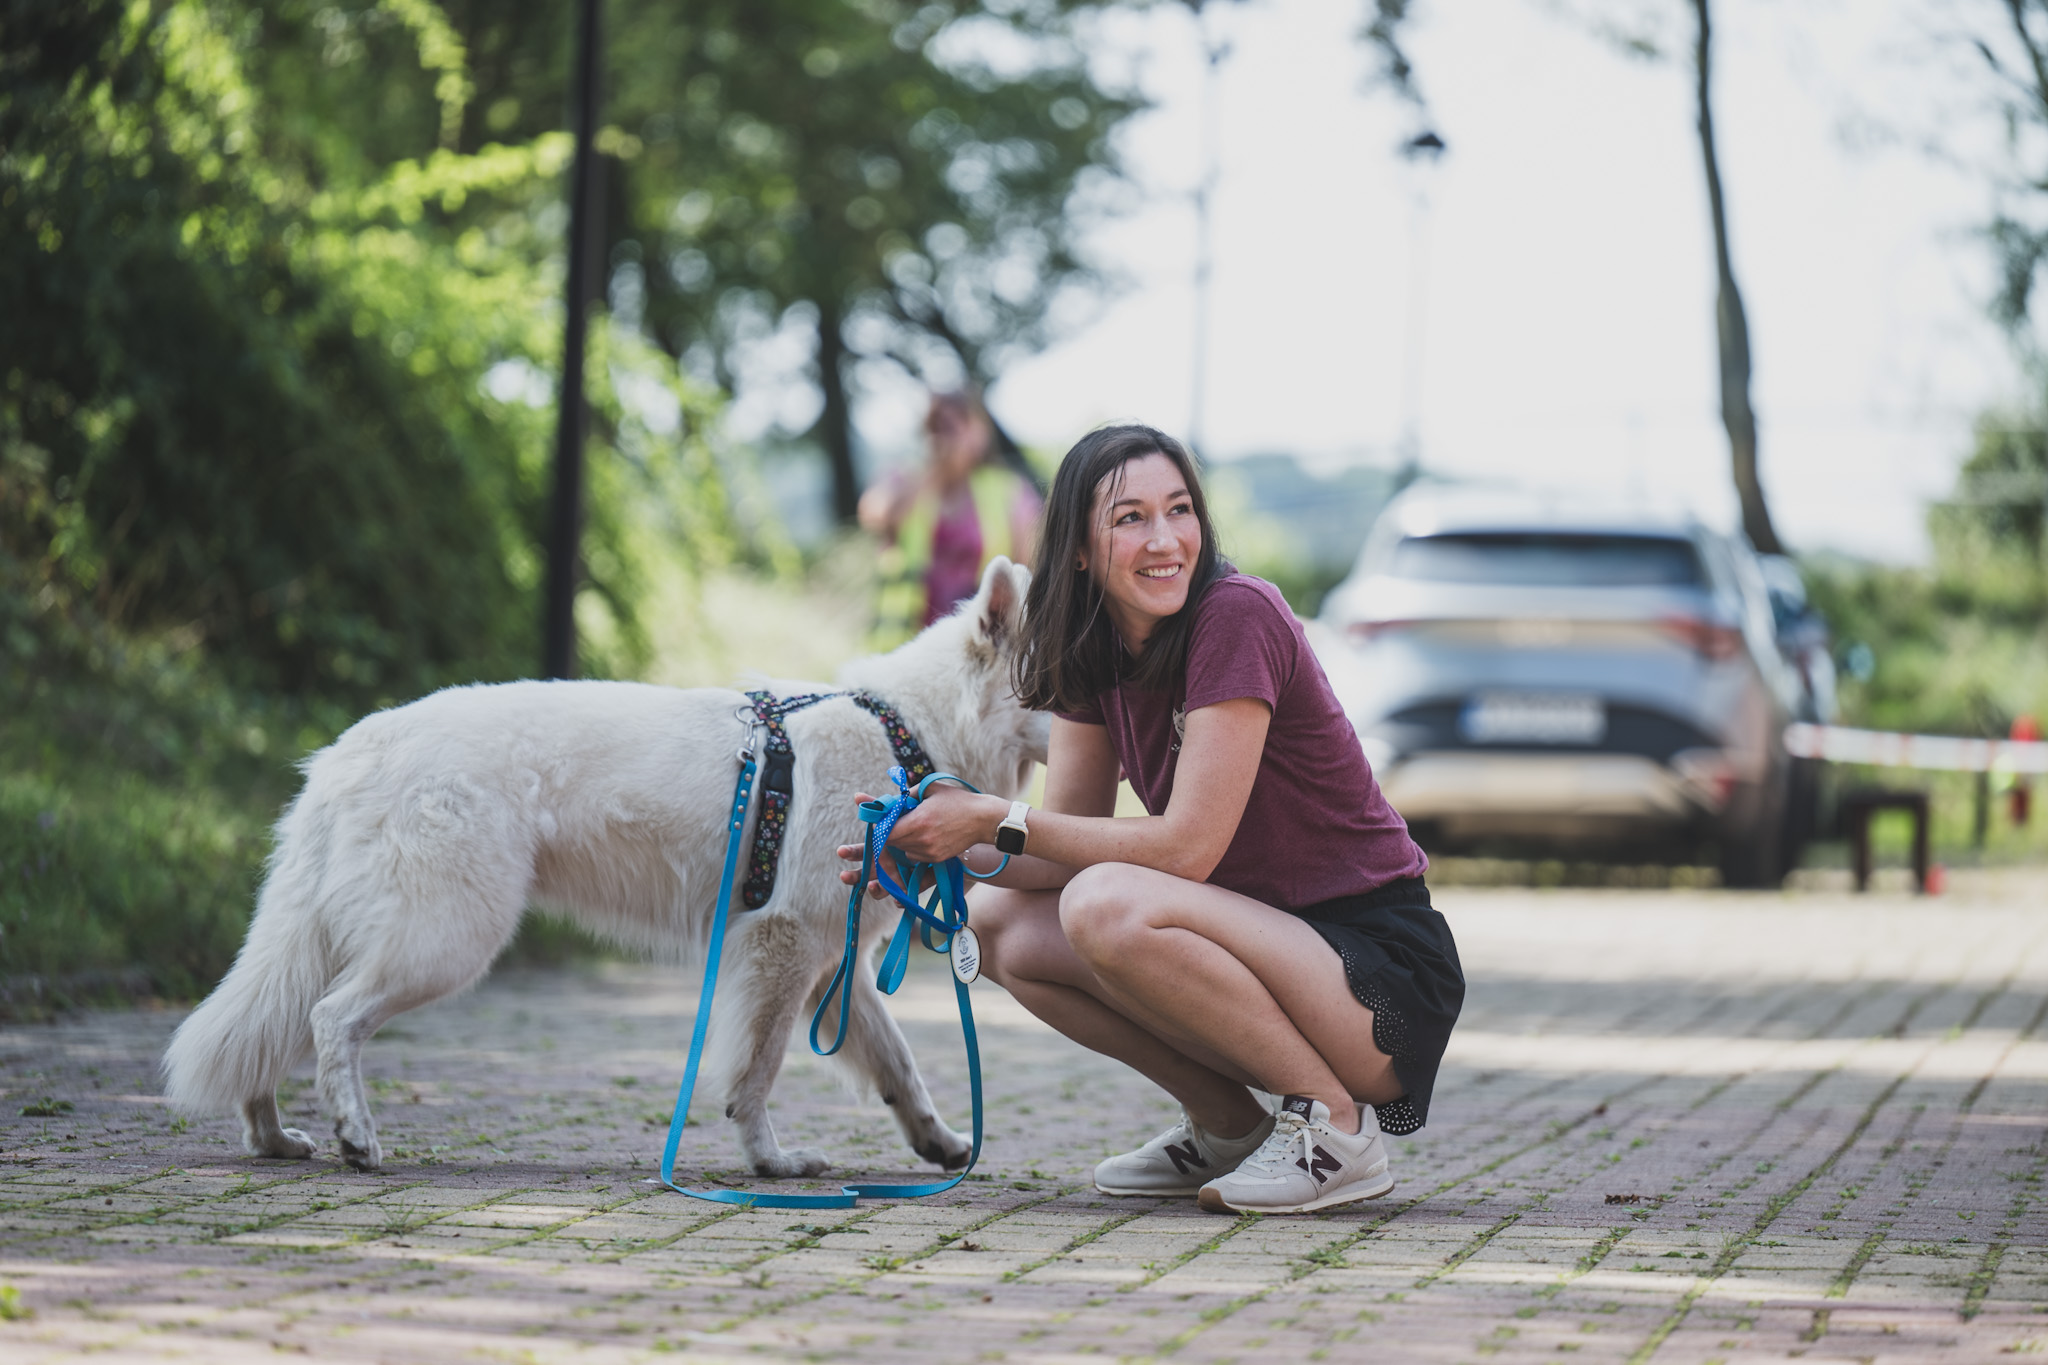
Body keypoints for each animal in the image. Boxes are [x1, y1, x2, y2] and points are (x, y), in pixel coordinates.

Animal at [165, 556, 1048, 1178]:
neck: (908, 734)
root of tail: (352, 749)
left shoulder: (835, 964)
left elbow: (899, 1063)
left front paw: (941, 1143)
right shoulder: (784, 947)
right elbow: (756, 1070)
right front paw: (769, 1161)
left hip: (348, 936)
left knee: (271, 1029)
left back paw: (273, 1137)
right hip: (446, 940)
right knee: (330, 1018)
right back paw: (355, 1134)